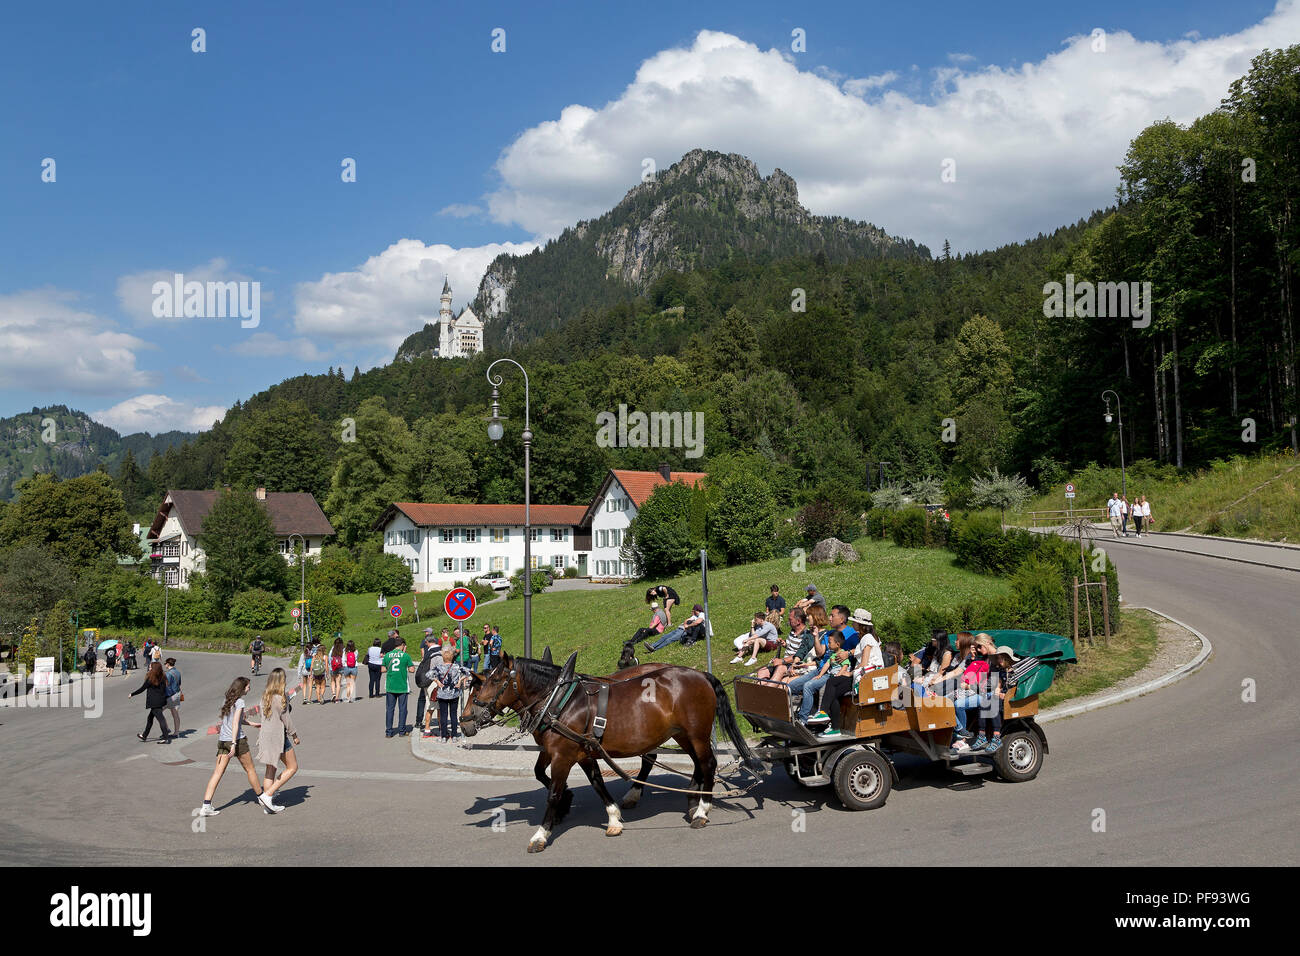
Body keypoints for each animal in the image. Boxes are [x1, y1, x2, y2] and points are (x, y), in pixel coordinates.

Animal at [462, 655, 759, 858]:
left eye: (496, 681)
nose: (466, 723)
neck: (560, 701)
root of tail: (700, 674)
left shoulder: (562, 755)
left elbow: (553, 793)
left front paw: (541, 833)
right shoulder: (581, 751)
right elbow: (596, 782)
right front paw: (613, 817)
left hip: (696, 733)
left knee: (707, 764)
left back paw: (701, 810)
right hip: (681, 734)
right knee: (697, 763)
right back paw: (690, 799)